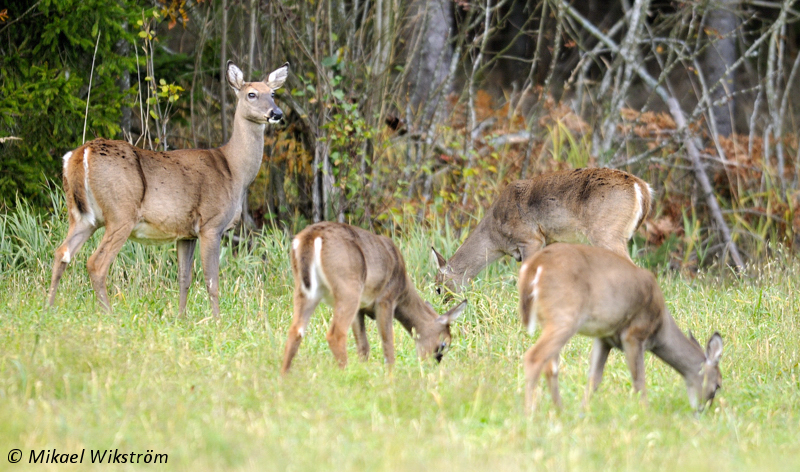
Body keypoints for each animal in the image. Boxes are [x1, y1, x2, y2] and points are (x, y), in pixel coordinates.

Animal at [47, 60, 290, 318]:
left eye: (272, 93)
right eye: (251, 94)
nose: (276, 113)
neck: (234, 170)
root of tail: (81, 153)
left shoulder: (186, 233)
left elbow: (184, 278)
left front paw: (181, 318)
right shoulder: (211, 224)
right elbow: (211, 281)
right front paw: (217, 320)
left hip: (82, 216)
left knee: (61, 252)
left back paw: (48, 307)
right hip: (121, 213)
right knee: (95, 263)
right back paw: (109, 314)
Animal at [282, 221, 466, 372]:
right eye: (443, 344)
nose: (432, 365)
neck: (403, 290)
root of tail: (312, 236)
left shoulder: (361, 309)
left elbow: (364, 347)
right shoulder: (386, 300)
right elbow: (388, 344)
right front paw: (390, 379)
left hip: (306, 291)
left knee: (295, 330)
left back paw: (284, 378)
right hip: (348, 289)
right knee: (336, 334)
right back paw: (345, 374)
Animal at [432, 169, 648, 296]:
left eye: (438, 288)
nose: (444, 303)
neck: (495, 235)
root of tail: (641, 187)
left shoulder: (530, 239)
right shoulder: (549, 242)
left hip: (605, 231)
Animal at [516, 243, 728, 412]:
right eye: (718, 384)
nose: (702, 409)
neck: (661, 328)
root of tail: (535, 266)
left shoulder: (604, 337)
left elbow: (594, 379)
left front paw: (583, 411)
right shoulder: (635, 334)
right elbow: (639, 381)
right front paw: (646, 413)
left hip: (550, 320)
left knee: (550, 366)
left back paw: (559, 410)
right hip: (565, 315)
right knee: (535, 358)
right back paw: (529, 412)